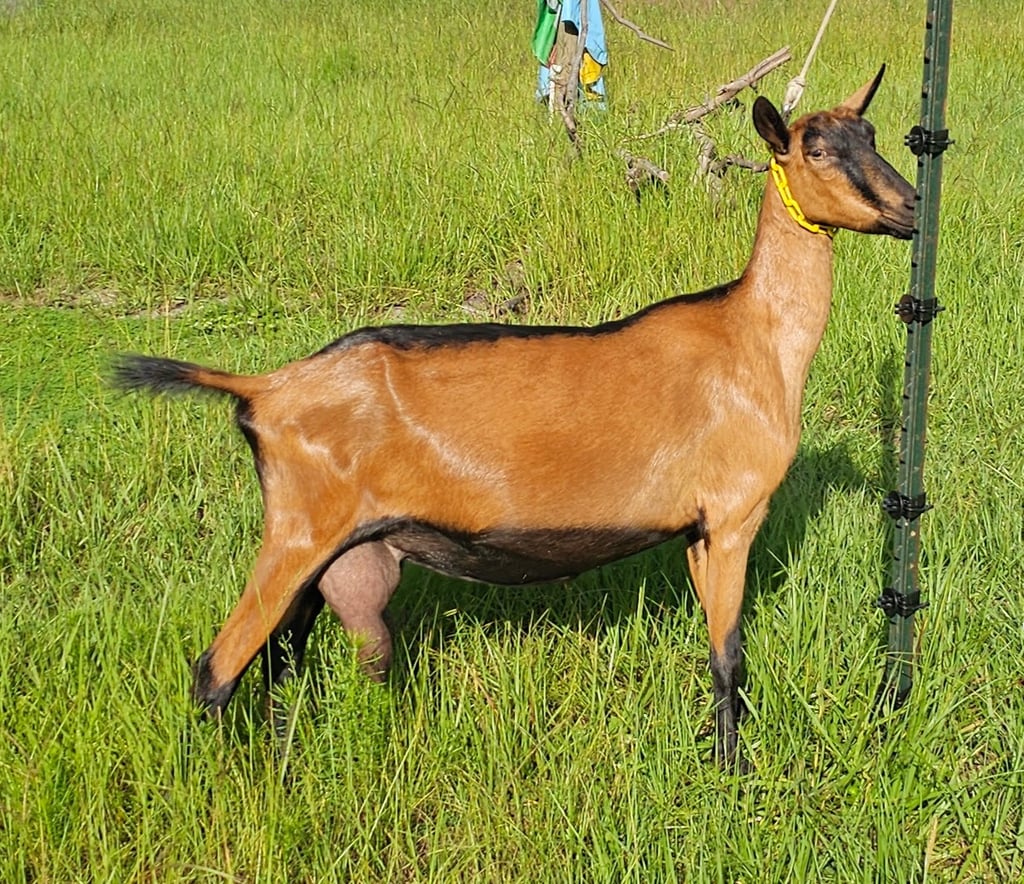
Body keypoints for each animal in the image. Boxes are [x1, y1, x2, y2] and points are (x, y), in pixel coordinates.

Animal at [112, 67, 915, 765]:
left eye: (874, 134)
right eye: (815, 149)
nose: (910, 207)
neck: (752, 337)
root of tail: (265, 388)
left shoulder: (695, 528)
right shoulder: (732, 513)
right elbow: (729, 658)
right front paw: (732, 774)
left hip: (328, 548)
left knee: (282, 654)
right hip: (297, 531)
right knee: (217, 669)